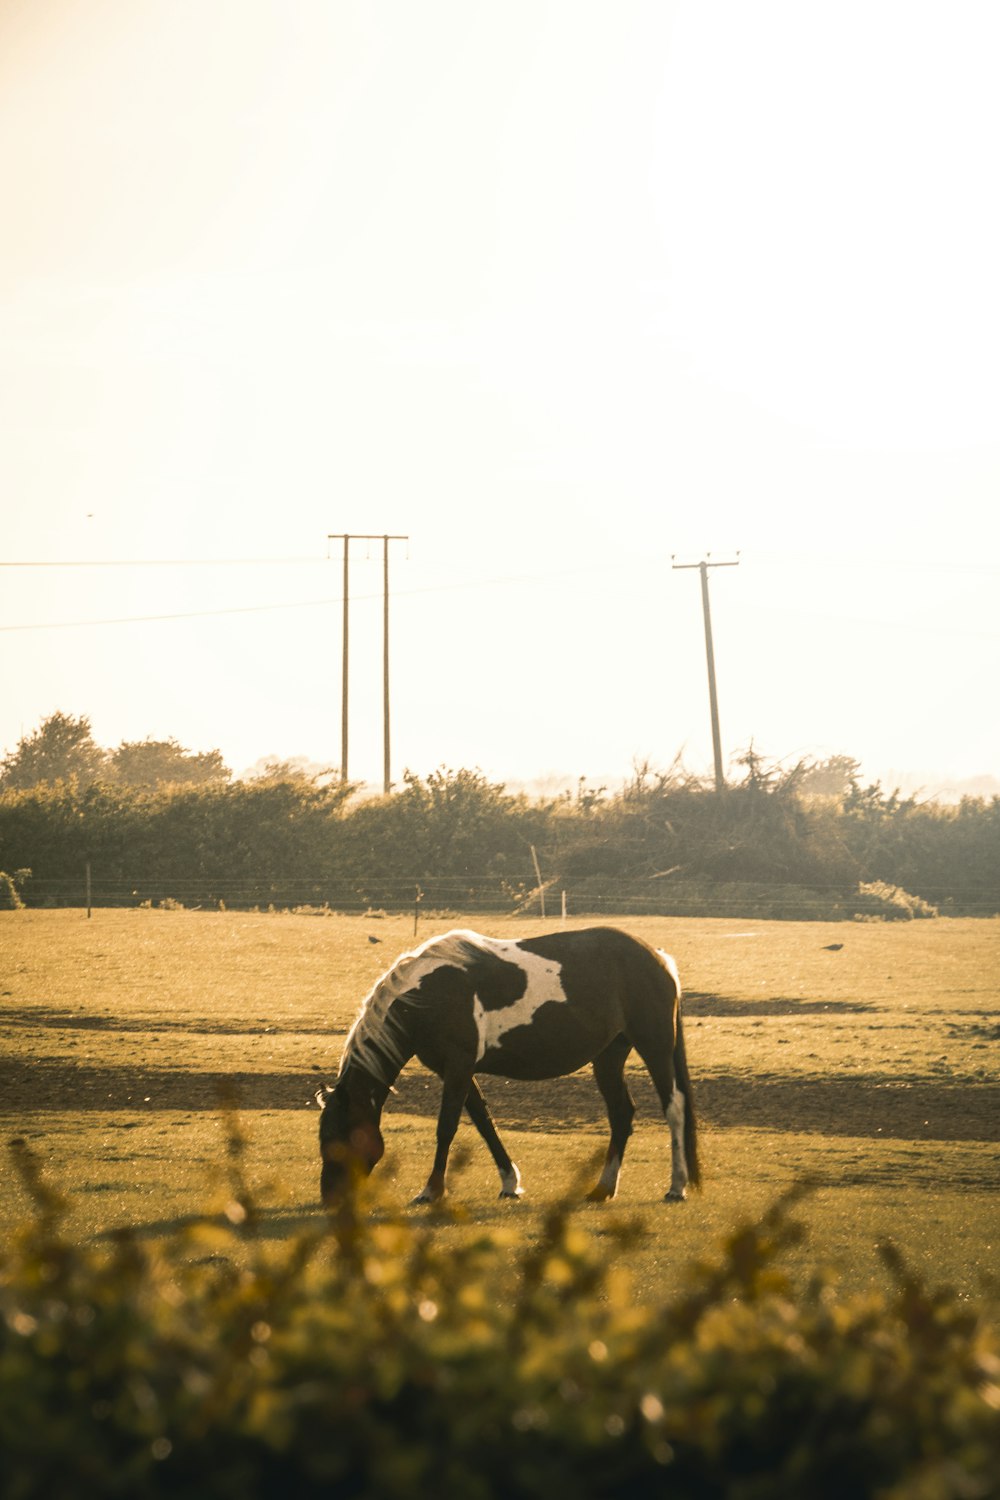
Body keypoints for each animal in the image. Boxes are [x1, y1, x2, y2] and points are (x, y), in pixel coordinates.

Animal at [316, 924, 701, 1206]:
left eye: (339, 1136)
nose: (329, 1197)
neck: (430, 992)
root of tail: (659, 959)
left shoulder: (458, 1066)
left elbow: (446, 1128)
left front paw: (431, 1191)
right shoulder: (457, 1070)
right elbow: (484, 1122)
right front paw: (509, 1183)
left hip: (655, 1048)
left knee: (674, 1108)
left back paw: (676, 1186)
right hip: (608, 1056)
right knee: (621, 1114)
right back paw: (603, 1188)